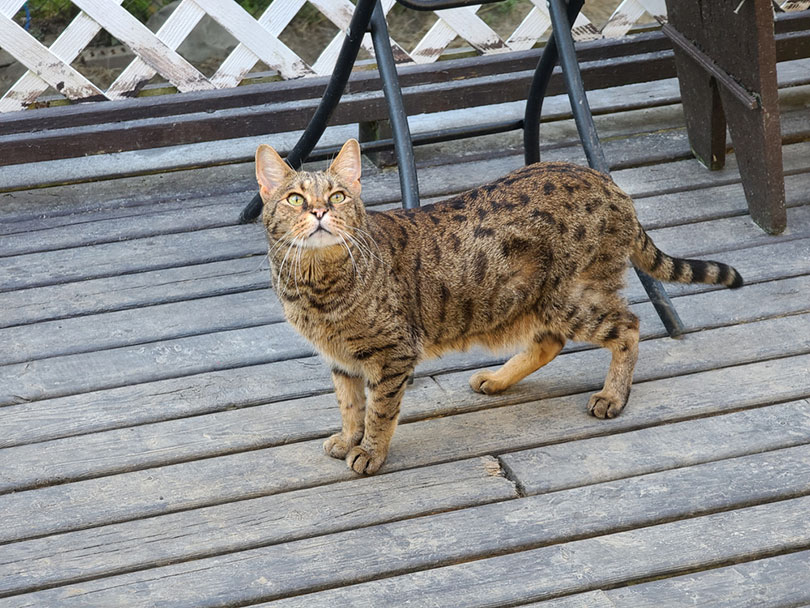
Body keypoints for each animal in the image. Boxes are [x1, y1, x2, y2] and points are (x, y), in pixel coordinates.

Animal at [256, 139, 740, 476]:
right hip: (535, 302)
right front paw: (347, 438)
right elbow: (349, 404)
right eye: (295, 199)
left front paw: (371, 452)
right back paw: (498, 378)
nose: (319, 211)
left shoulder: (392, 354)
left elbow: (379, 411)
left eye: (338, 196)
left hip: (570, 298)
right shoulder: (342, 359)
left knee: (628, 326)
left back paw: (612, 396)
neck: (316, 284)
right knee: (550, 342)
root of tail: (605, 180)